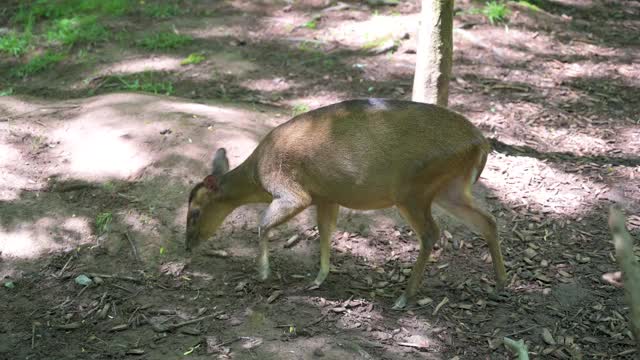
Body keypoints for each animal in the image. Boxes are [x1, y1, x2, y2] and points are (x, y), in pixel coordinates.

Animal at [185, 99, 504, 310]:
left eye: (194, 213)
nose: (187, 245)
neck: (256, 176)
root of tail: (480, 144)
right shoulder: (326, 196)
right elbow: (325, 232)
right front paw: (318, 279)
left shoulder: (293, 190)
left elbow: (263, 224)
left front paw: (263, 273)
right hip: (451, 188)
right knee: (488, 220)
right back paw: (501, 283)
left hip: (414, 189)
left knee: (431, 232)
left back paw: (404, 297)